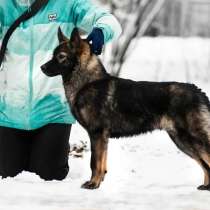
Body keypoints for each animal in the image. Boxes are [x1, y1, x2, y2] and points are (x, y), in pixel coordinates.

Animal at [40, 27, 210, 190]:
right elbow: (102, 164)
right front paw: (99, 182)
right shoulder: (103, 138)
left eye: (61, 56)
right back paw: (206, 186)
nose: (42, 67)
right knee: (205, 165)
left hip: (191, 138)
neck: (87, 82)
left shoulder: (96, 134)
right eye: (53, 55)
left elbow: (94, 163)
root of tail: (198, 91)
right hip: (181, 140)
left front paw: (93, 184)